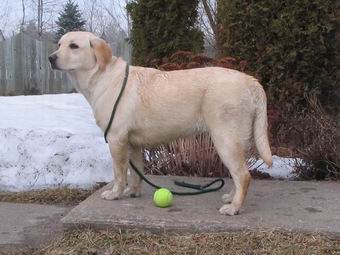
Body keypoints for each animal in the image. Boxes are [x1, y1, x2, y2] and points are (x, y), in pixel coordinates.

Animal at [48, 31, 270, 215]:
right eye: (59, 44)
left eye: (74, 46)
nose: (51, 57)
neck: (102, 75)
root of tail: (251, 81)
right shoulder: (132, 143)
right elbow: (136, 171)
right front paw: (133, 191)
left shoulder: (116, 139)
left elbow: (119, 173)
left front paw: (115, 193)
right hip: (236, 142)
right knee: (239, 174)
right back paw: (231, 198)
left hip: (225, 140)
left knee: (243, 175)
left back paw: (234, 208)